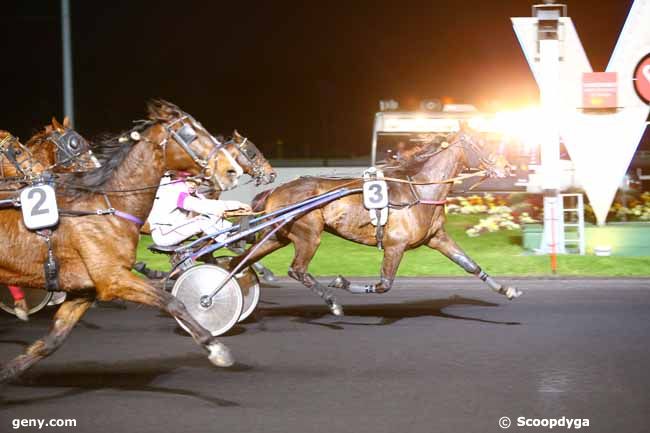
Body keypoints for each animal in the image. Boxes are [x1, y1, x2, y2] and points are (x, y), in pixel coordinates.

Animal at [0, 98, 248, 382]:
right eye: (190, 134)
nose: (232, 170)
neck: (108, 206)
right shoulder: (114, 279)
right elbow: (172, 301)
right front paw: (216, 347)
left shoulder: (84, 291)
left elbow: (53, 340)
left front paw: (10, 370)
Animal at [232, 127, 520, 314]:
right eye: (482, 143)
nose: (507, 168)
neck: (420, 190)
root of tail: (275, 190)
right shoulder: (395, 245)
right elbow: (384, 284)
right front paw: (341, 282)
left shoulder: (437, 238)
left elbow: (470, 264)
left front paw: (507, 290)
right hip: (309, 235)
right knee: (297, 269)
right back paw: (332, 302)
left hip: (277, 236)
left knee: (241, 261)